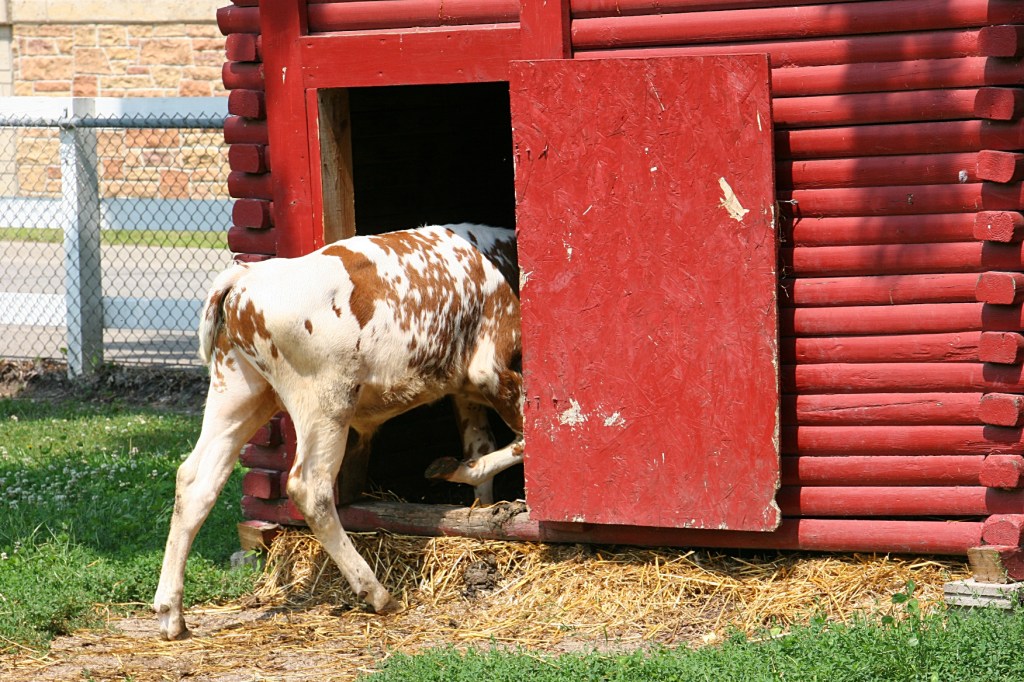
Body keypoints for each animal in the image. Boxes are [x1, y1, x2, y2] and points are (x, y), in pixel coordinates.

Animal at [154, 224, 524, 640]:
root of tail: (248, 279)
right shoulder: (494, 370)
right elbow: (527, 439)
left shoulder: (465, 389)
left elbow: (481, 445)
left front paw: (482, 510)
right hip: (326, 401)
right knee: (309, 486)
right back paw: (376, 591)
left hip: (237, 392)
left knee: (195, 480)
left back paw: (171, 613)